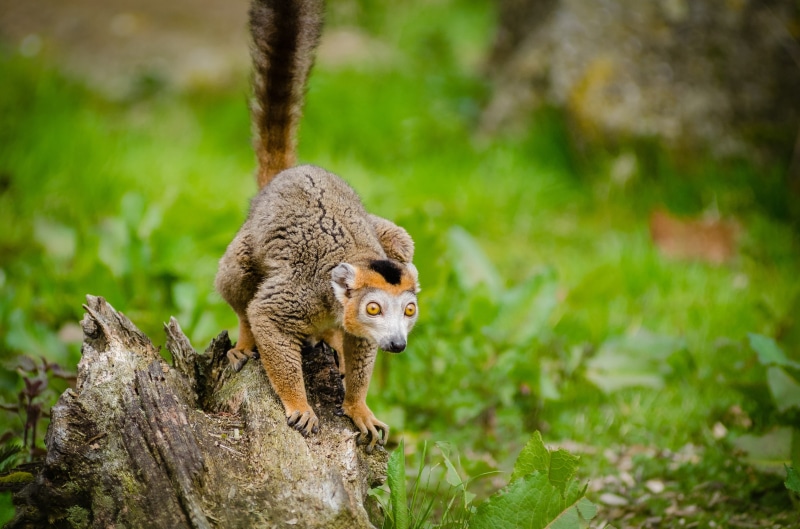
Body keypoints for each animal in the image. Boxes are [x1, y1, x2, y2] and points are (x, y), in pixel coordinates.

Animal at [214, 0, 420, 453]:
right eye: (374, 308)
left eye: (409, 310)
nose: (397, 343)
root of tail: (286, 175)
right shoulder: (300, 295)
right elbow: (265, 315)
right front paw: (299, 404)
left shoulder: (357, 324)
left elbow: (361, 348)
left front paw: (358, 406)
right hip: (247, 243)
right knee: (238, 280)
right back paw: (245, 340)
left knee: (401, 241)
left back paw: (332, 344)